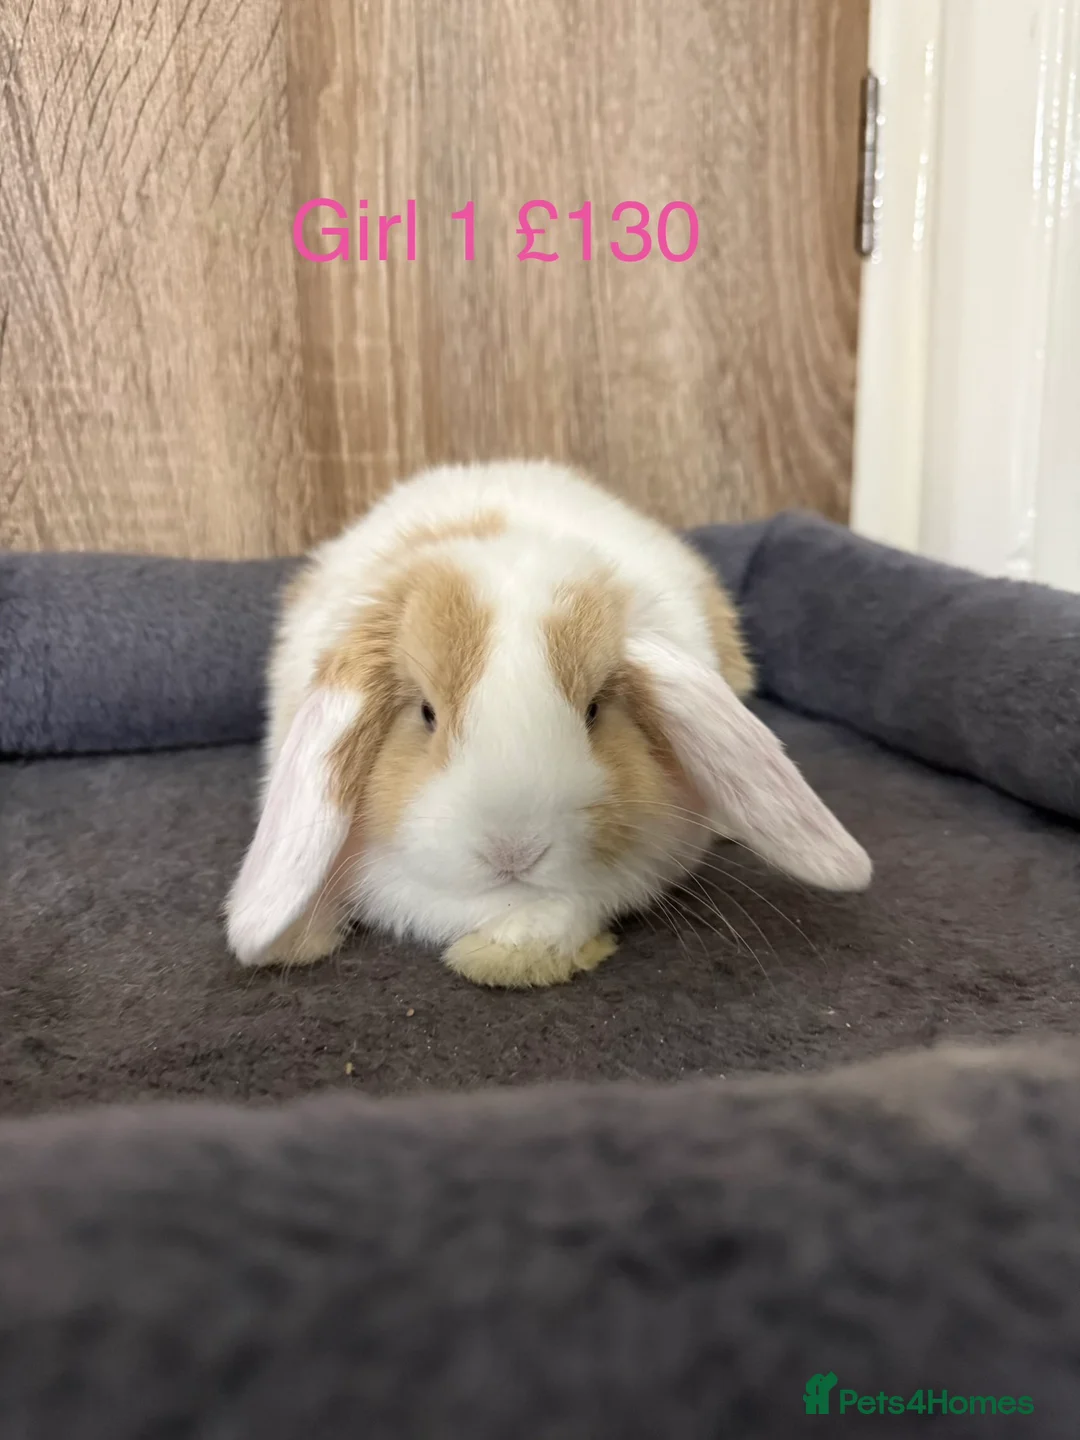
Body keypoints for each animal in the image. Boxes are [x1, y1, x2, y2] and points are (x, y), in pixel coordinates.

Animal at [225, 460, 871, 988]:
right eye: (427, 714)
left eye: (593, 710)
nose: (514, 851)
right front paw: (293, 942)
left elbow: (560, 913)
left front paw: (504, 959)